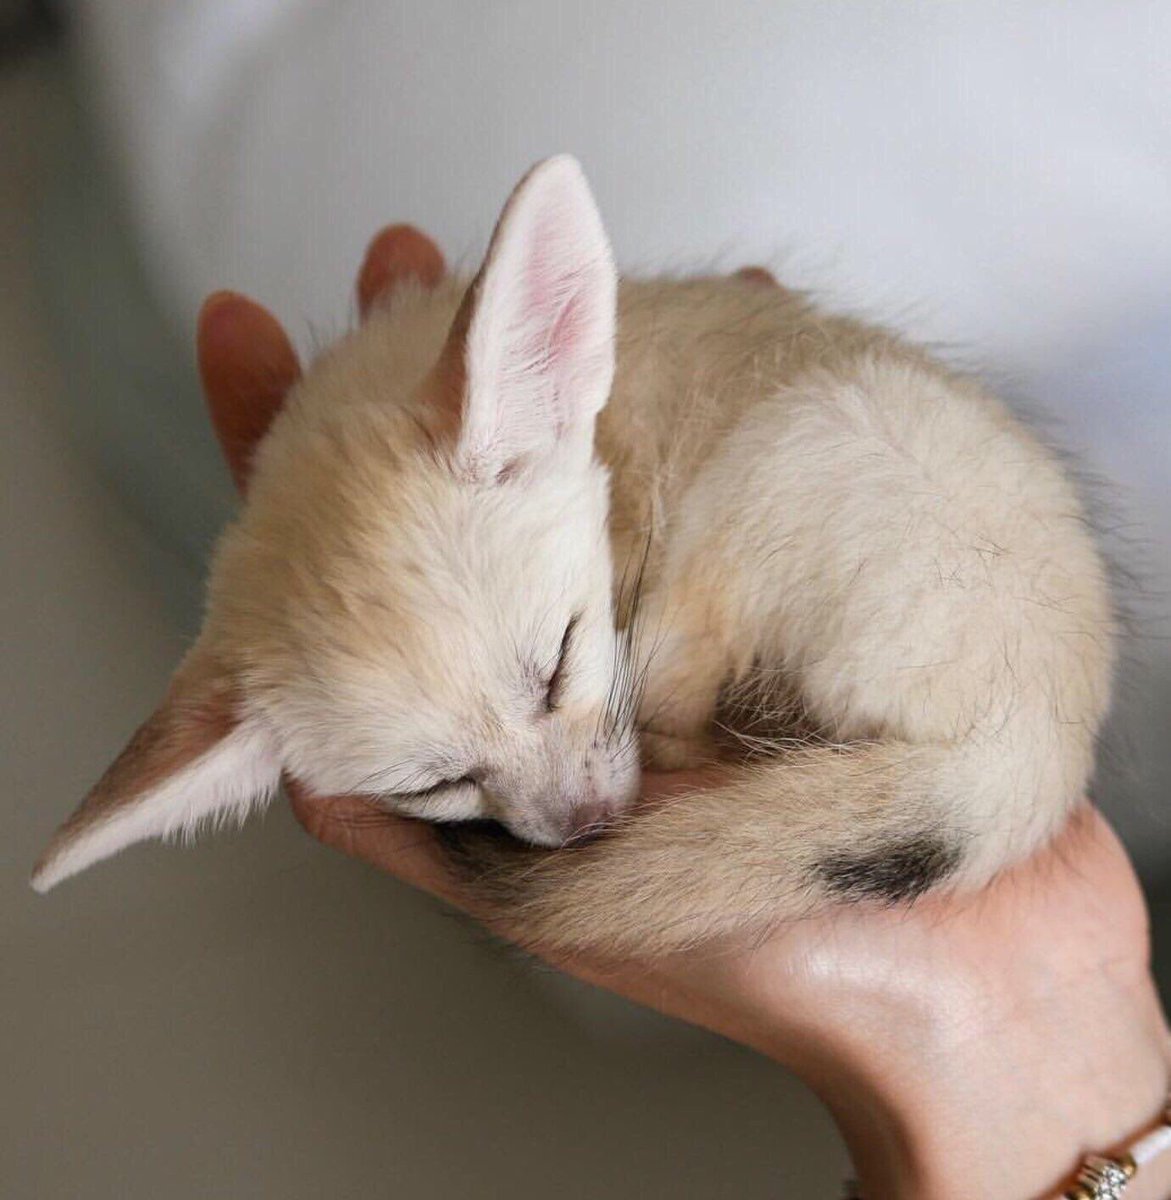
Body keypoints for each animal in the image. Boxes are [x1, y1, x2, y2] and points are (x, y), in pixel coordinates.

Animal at [32, 156, 1115, 955]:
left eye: (559, 663)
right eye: (431, 787)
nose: (590, 827)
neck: (603, 434)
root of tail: (1039, 740)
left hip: (773, 470)